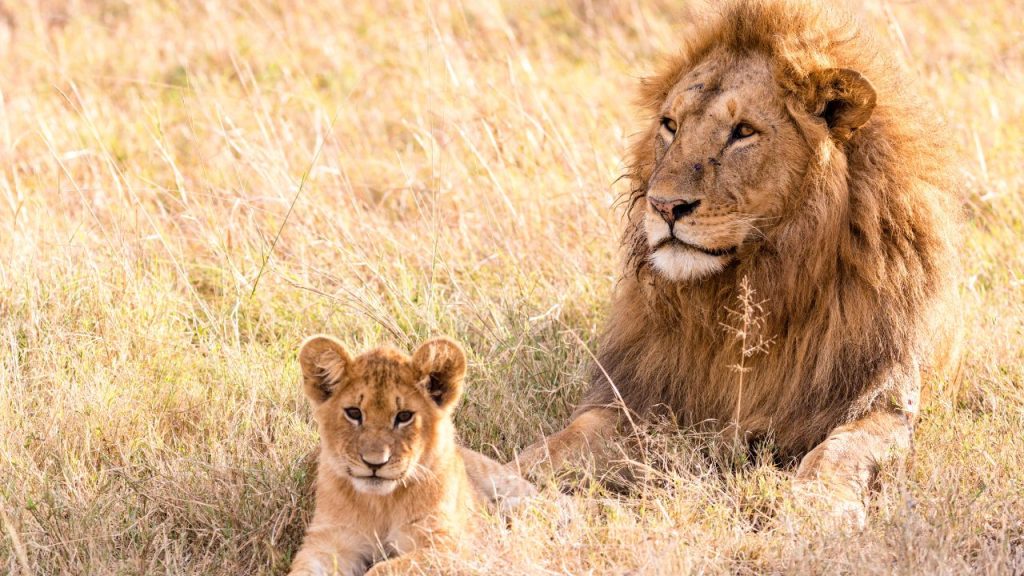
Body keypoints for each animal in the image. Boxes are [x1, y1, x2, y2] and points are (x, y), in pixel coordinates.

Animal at [290, 334, 536, 569]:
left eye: (404, 416)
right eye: (354, 413)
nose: (374, 463)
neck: (381, 504)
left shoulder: (450, 546)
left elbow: (383, 568)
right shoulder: (328, 541)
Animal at [520, 0, 958, 512]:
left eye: (743, 132)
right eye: (670, 126)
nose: (664, 206)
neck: (744, 293)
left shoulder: (881, 399)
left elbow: (839, 452)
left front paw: (815, 507)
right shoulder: (637, 396)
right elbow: (564, 440)